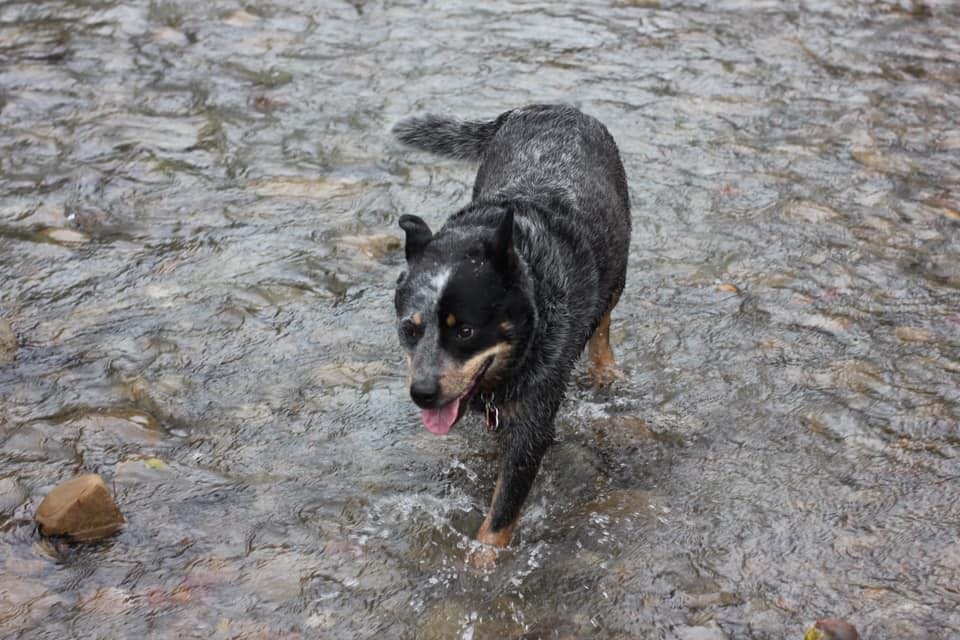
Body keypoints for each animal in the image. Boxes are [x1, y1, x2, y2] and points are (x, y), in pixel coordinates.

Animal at [392, 104, 631, 548]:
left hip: (618, 267)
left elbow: (499, 518)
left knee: (604, 319)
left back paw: (606, 367)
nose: (422, 394)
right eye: (409, 329)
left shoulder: (533, 421)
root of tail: (548, 106)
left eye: (465, 331)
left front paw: (482, 560)